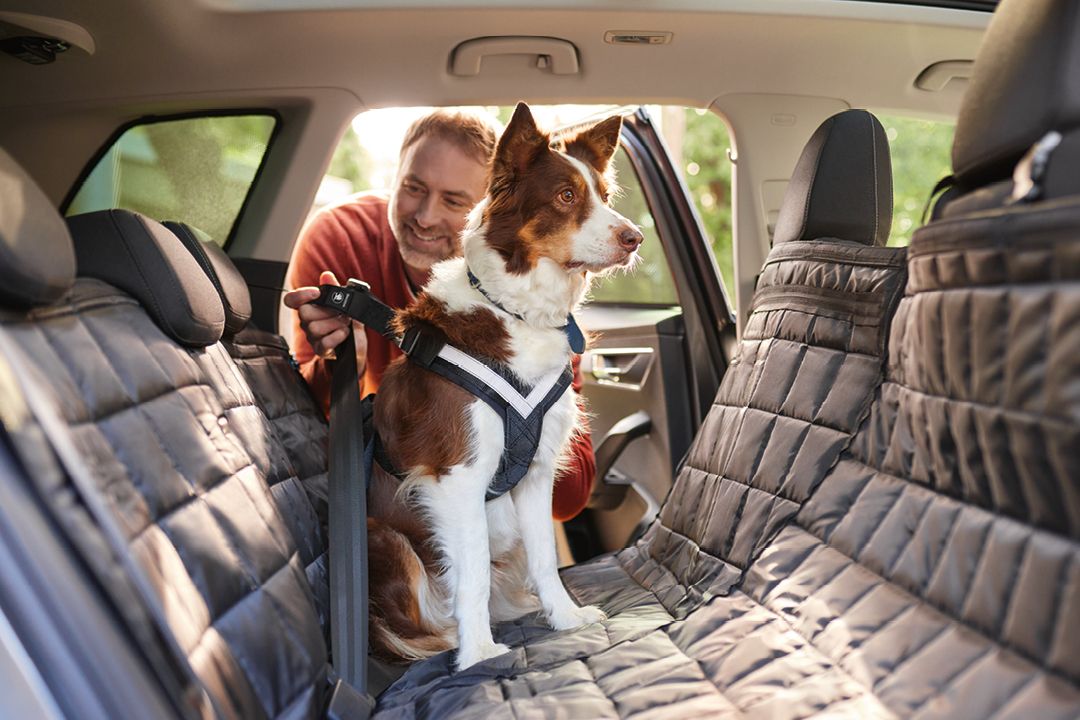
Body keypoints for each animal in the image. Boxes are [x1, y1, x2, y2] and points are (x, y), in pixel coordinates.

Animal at [367, 101, 643, 669]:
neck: (517, 311)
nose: (635, 239)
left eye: (604, 196)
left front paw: (565, 618)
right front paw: (479, 654)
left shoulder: (535, 474)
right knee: (413, 627)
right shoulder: (458, 477)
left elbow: (544, 556)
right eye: (566, 196)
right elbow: (470, 574)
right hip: (389, 539)